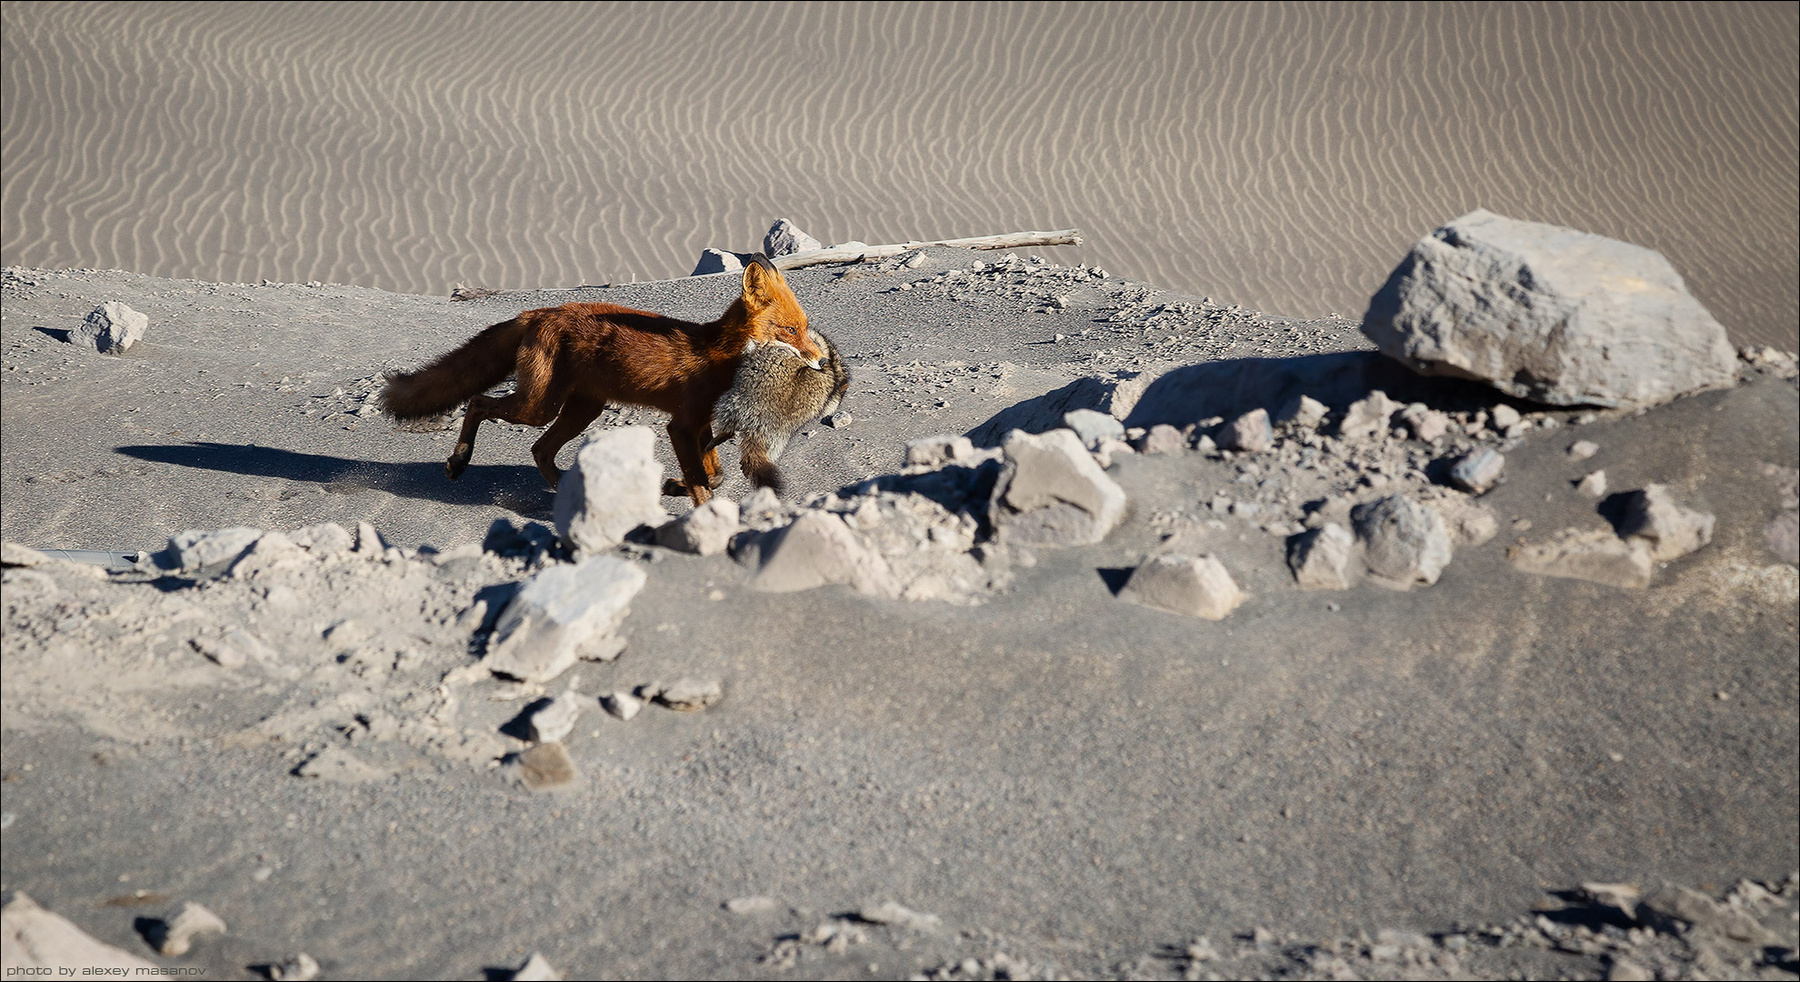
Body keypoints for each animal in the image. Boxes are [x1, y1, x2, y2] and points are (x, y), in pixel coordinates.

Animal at [379, 254, 822, 505]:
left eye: (805, 328)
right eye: (790, 331)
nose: (820, 360)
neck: (717, 355)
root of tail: (539, 311)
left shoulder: (701, 426)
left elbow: (713, 475)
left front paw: (673, 487)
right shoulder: (682, 426)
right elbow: (703, 483)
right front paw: (701, 514)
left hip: (581, 410)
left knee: (539, 449)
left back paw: (563, 488)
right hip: (538, 407)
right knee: (478, 403)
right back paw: (458, 461)